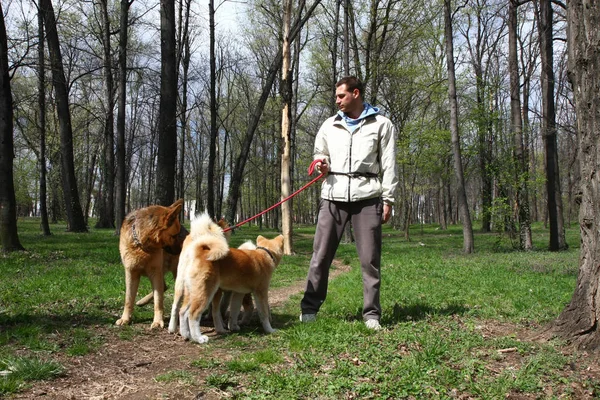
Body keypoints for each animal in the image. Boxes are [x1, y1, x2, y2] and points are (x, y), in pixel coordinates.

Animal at [115, 199, 183, 328]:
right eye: (175, 235)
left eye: (178, 234)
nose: (183, 248)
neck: (141, 245)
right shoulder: (131, 273)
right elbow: (128, 299)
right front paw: (125, 318)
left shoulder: (155, 273)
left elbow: (158, 300)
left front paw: (157, 321)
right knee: (164, 286)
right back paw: (142, 301)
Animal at [166, 212, 284, 344]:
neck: (264, 254)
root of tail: (198, 250)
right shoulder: (260, 292)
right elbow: (264, 313)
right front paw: (270, 330)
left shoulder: (238, 293)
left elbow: (234, 310)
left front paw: (233, 326)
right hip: (206, 292)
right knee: (193, 314)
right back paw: (199, 338)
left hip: (190, 291)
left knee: (182, 311)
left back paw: (186, 335)